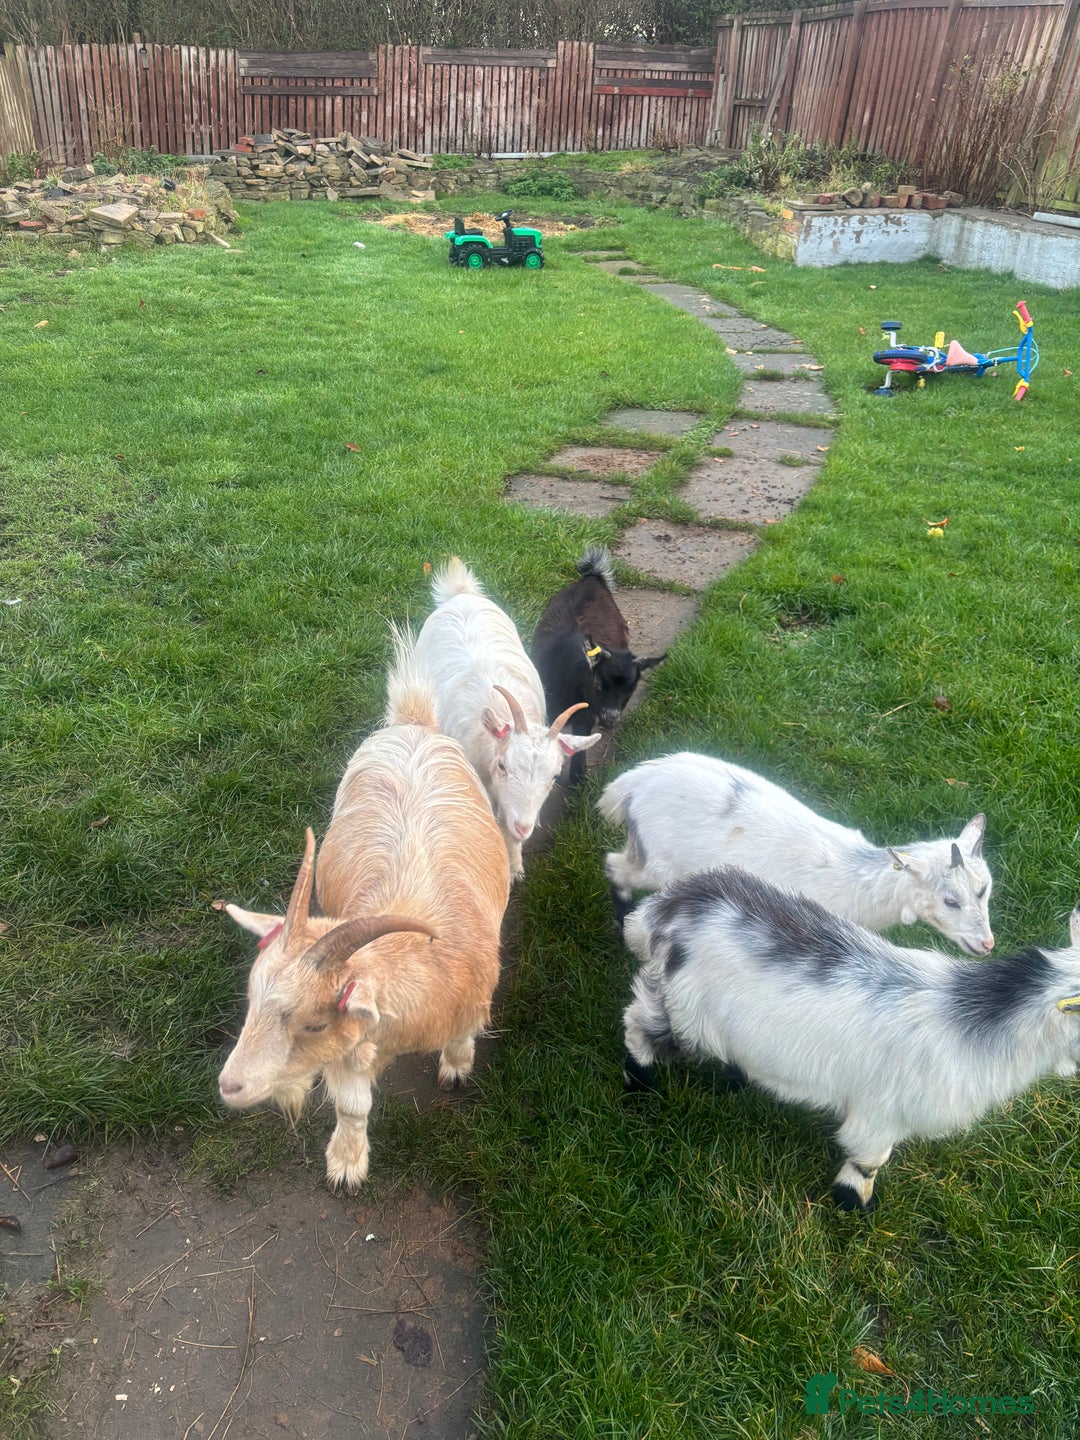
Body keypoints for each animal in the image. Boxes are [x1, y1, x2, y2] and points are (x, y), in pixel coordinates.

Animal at [216, 638, 510, 1191]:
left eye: (312, 1025)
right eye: (251, 999)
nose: (230, 1085)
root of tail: (412, 722)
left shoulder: (469, 998)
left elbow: (464, 1036)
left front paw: (457, 1065)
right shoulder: (354, 1044)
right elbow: (353, 1107)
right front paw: (347, 1163)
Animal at [531, 546, 666, 785]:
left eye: (632, 689)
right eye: (598, 683)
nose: (611, 717)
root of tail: (593, 578)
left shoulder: (585, 715)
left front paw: (577, 779)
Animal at [599, 752, 994, 954]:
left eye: (985, 890)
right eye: (950, 901)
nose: (987, 943)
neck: (856, 881)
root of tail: (630, 784)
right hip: (658, 862)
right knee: (615, 865)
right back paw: (621, 923)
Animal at [623, 866, 1080, 1211]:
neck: (972, 1019)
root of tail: (669, 905)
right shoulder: (880, 1113)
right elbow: (869, 1160)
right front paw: (854, 1203)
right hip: (682, 1007)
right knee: (638, 1023)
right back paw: (639, 1084)